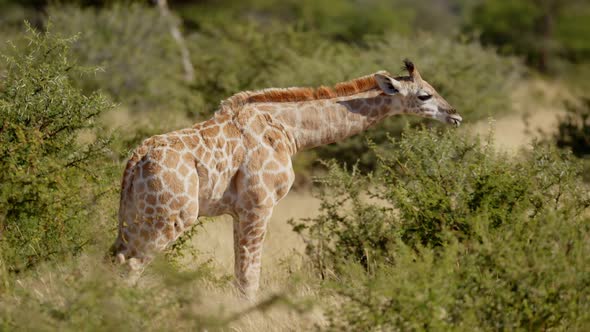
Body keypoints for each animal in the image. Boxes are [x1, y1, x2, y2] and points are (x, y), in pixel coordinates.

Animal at [111, 59, 462, 298]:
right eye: (424, 95)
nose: (455, 115)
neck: (291, 132)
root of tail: (135, 160)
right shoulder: (259, 206)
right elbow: (249, 279)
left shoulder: (239, 212)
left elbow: (241, 275)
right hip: (174, 217)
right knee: (131, 267)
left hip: (137, 218)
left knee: (113, 260)